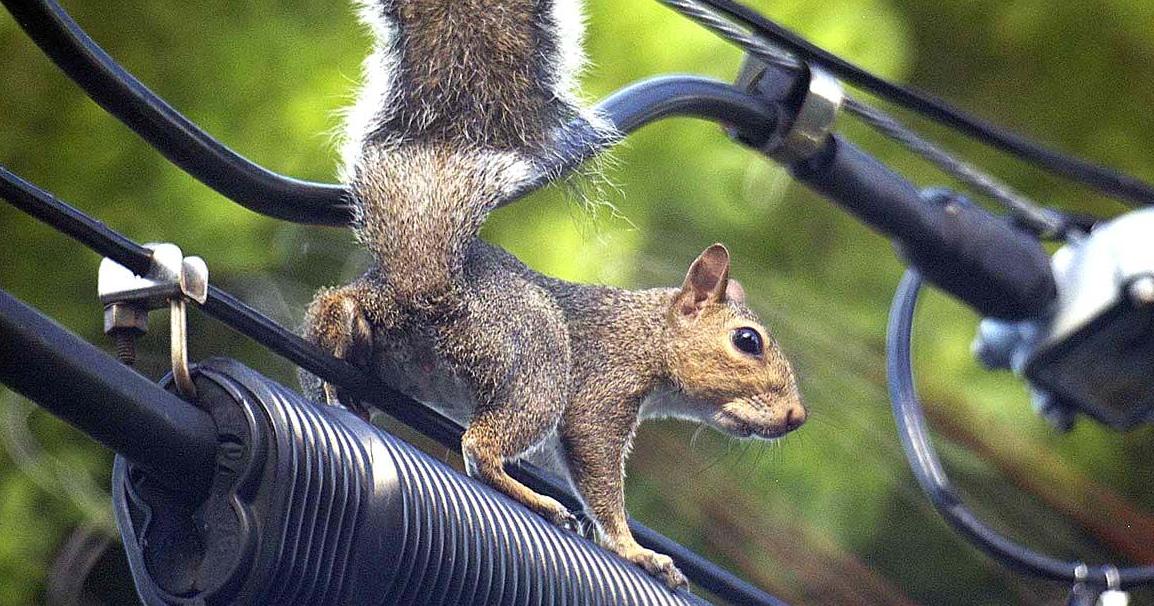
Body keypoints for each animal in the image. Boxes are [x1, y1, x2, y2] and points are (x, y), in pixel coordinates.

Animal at [301, 0, 807, 589]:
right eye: (747, 341)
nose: (796, 417)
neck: (647, 334)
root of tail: (427, 292)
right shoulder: (603, 389)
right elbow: (597, 470)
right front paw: (636, 550)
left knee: (339, 321)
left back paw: (343, 349)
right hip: (536, 360)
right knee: (479, 447)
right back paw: (538, 500)